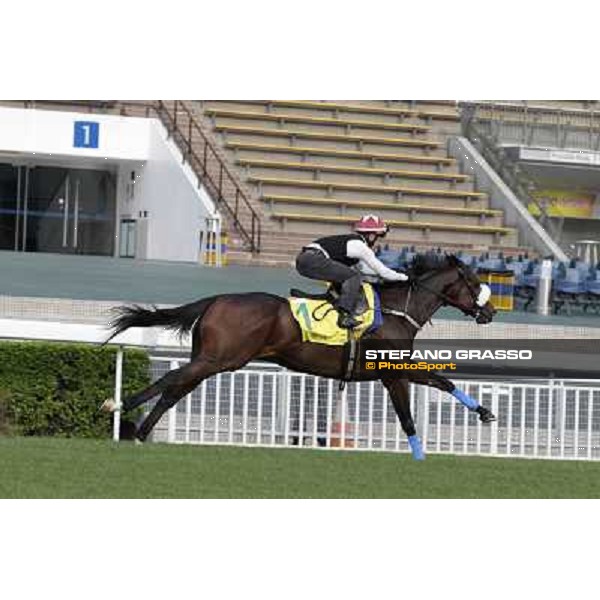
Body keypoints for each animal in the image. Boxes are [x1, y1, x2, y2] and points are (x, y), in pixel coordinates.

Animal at [102, 253, 496, 460]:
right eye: (476, 284)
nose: (490, 311)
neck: (398, 311)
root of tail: (216, 299)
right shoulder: (391, 373)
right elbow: (407, 415)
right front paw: (419, 457)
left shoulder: (398, 368)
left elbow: (442, 380)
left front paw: (485, 412)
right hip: (219, 359)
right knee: (171, 379)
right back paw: (119, 408)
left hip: (213, 359)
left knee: (175, 389)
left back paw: (141, 433)